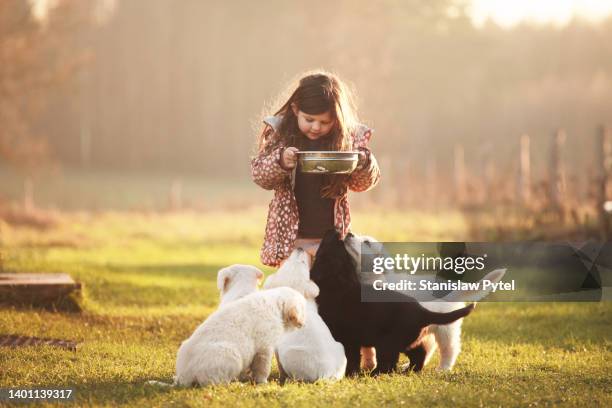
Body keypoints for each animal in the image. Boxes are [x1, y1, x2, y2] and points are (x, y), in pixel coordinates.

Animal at [175, 286, 306, 386]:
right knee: (213, 382)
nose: (304, 323)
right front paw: (263, 383)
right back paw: (237, 384)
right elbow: (263, 368)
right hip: (231, 355)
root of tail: (184, 375)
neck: (275, 305)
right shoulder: (264, 347)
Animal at [264, 249, 346, 382]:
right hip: (340, 348)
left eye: (302, 262)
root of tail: (326, 373)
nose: (300, 248)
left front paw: (281, 377)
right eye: (288, 259)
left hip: (289, 355)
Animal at [310, 230, 474, 376]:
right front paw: (368, 364)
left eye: (367, 242)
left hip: (445, 331)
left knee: (449, 350)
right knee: (424, 350)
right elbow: (367, 349)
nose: (348, 233)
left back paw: (443, 368)